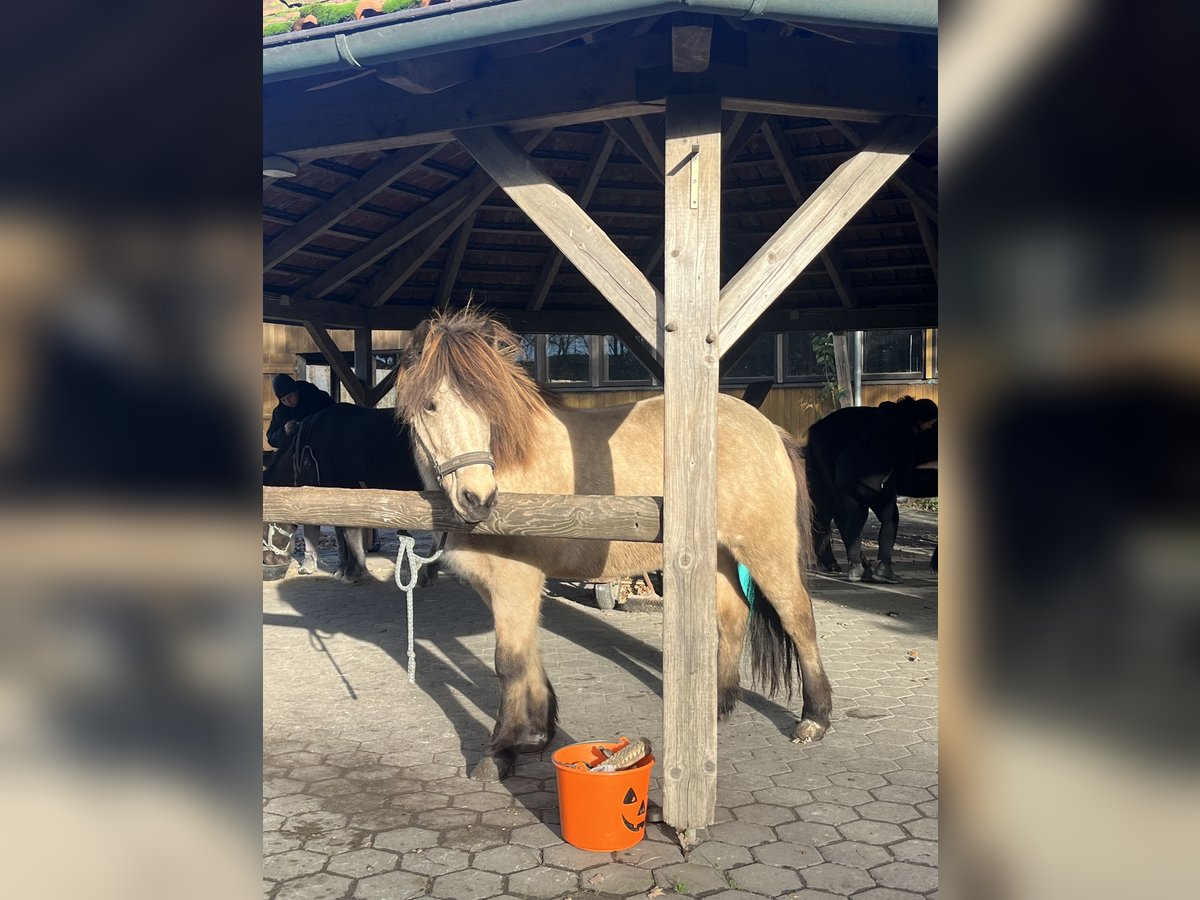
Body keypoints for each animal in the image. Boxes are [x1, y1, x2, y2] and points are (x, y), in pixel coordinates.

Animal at [262, 400, 432, 585]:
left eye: (263, 528)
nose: (268, 567)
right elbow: (340, 536)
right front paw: (342, 570)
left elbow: (349, 533)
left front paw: (353, 572)